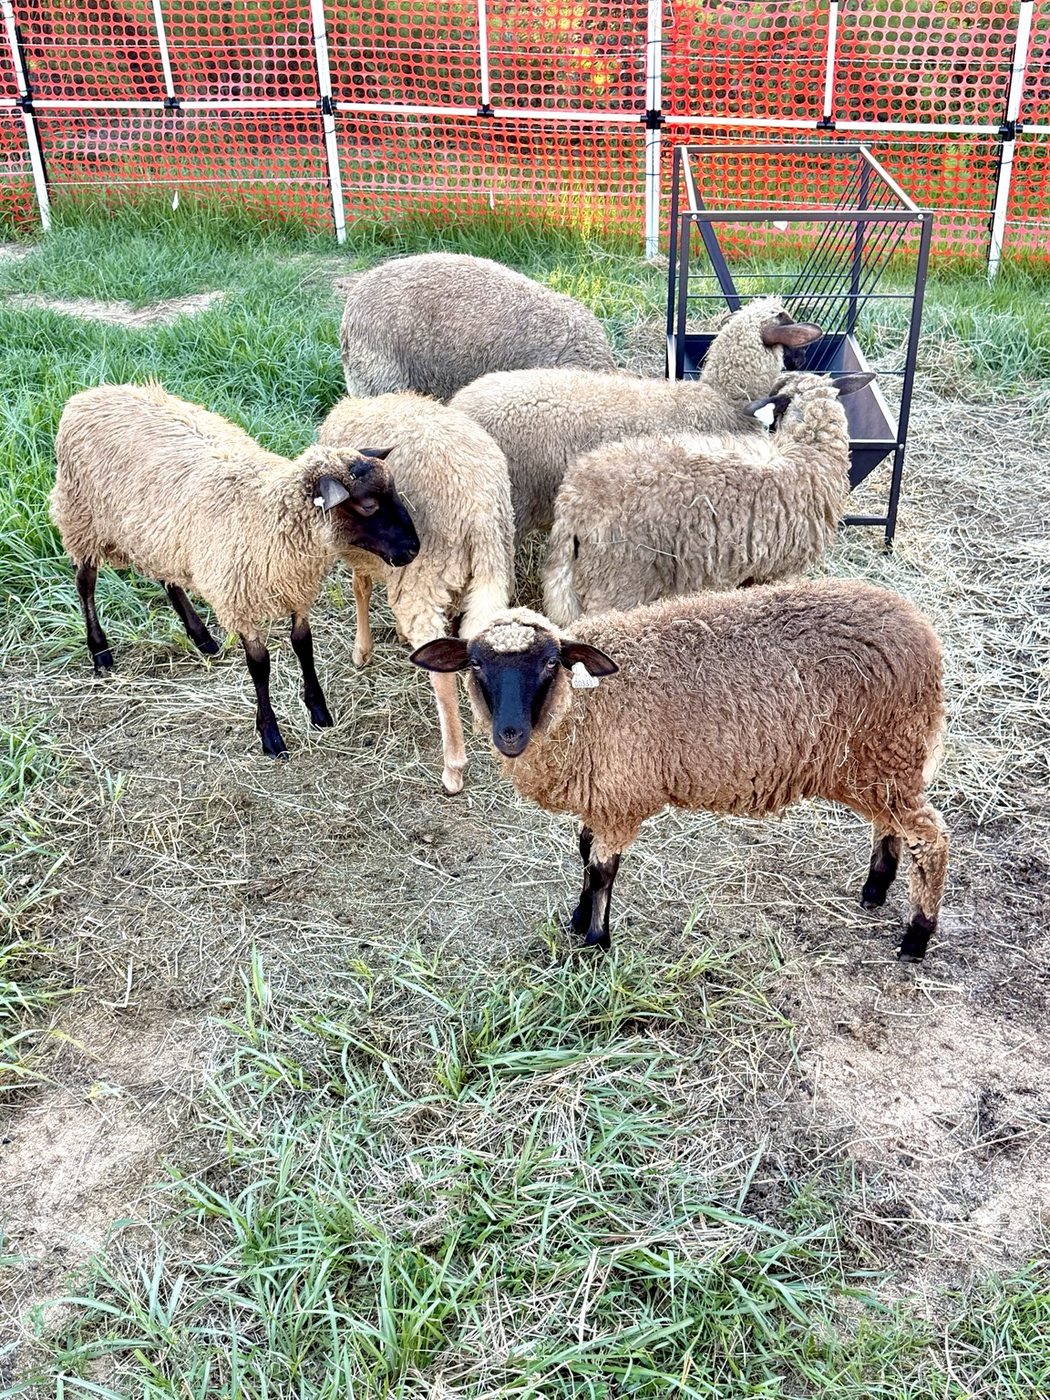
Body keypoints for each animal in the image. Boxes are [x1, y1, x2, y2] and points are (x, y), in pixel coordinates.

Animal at [51, 382, 420, 759]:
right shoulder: (237, 598)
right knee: (85, 583)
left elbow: (303, 645)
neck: (267, 513)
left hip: (160, 533)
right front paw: (270, 735)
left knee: (168, 578)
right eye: (368, 505)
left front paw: (319, 711)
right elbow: (260, 664)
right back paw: (100, 652)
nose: (413, 549)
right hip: (81, 517)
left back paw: (202, 637)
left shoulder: (296, 588)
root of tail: (89, 395)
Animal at [317, 391, 514, 795]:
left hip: (422, 574)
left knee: (441, 670)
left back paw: (453, 768)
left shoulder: (363, 551)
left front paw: (362, 651)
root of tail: (481, 509)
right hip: (493, 565)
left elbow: (359, 586)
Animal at [411, 582, 948, 961]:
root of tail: (921, 629)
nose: (510, 734)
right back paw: (875, 890)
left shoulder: (621, 797)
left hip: (889, 750)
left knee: (930, 837)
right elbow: (584, 853)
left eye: (549, 663)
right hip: (876, 763)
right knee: (891, 824)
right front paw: (579, 917)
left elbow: (603, 869)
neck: (586, 708)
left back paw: (916, 937)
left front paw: (596, 940)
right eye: (475, 663)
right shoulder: (600, 795)